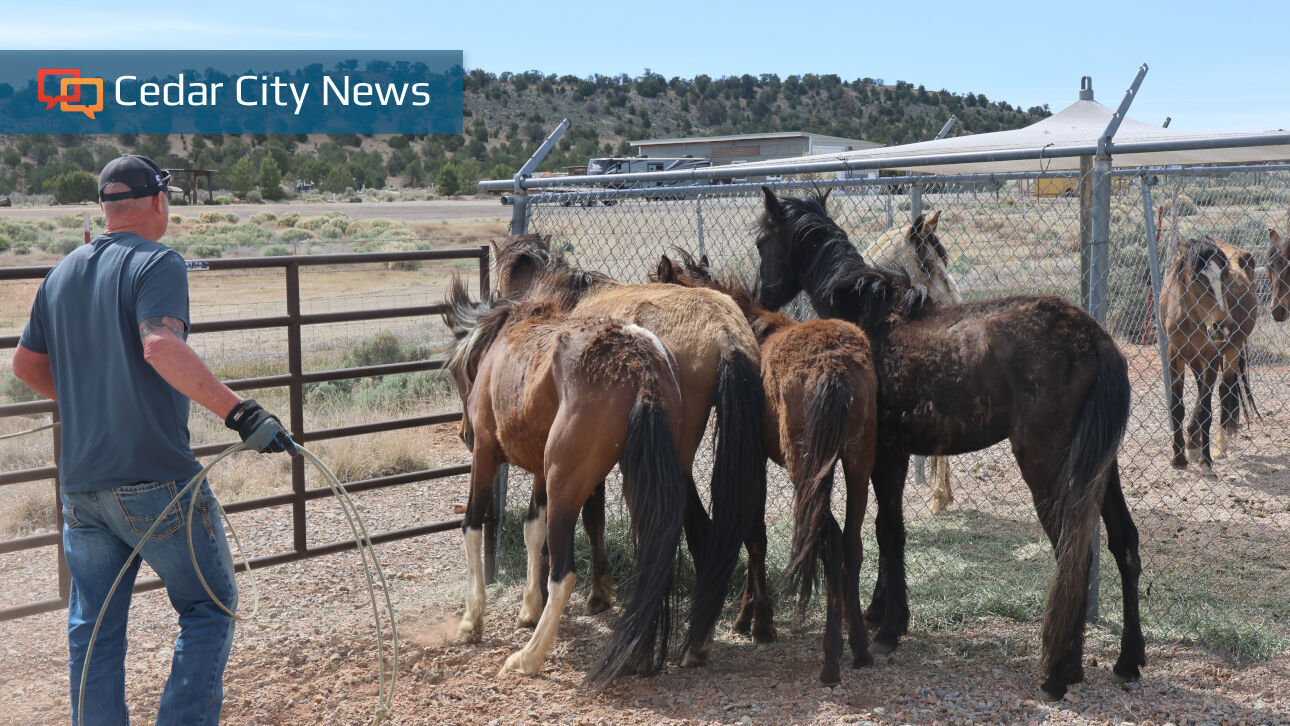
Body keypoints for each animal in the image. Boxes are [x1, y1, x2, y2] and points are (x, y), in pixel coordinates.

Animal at [442, 278, 688, 688]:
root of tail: (638, 363)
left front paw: (470, 620)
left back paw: (527, 658)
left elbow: (472, 526)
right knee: (651, 562)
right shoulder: (540, 472)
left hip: (564, 485)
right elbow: (532, 530)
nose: (464, 434)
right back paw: (636, 655)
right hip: (639, 484)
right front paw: (528, 607)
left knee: (564, 574)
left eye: (457, 373)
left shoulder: (487, 456)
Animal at [493, 234, 769, 668]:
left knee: (688, 531)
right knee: (750, 529)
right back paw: (750, 625)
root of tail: (724, 333)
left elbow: (589, 519)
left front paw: (590, 595)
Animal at [652, 250, 878, 684]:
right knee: (850, 544)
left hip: (805, 470)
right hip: (858, 464)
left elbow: (753, 534)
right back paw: (859, 647)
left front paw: (756, 622)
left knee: (827, 537)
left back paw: (831, 657)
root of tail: (835, 364)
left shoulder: (753, 459)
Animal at [1159, 236, 1259, 473]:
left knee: (1225, 388)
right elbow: (1177, 407)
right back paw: (1193, 442)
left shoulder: (1211, 357)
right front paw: (1179, 457)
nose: (1222, 326)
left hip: (1232, 349)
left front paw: (1205, 461)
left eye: (1224, 276)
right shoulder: (1175, 355)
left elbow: (1205, 410)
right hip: (1195, 359)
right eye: (1197, 277)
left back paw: (1219, 442)